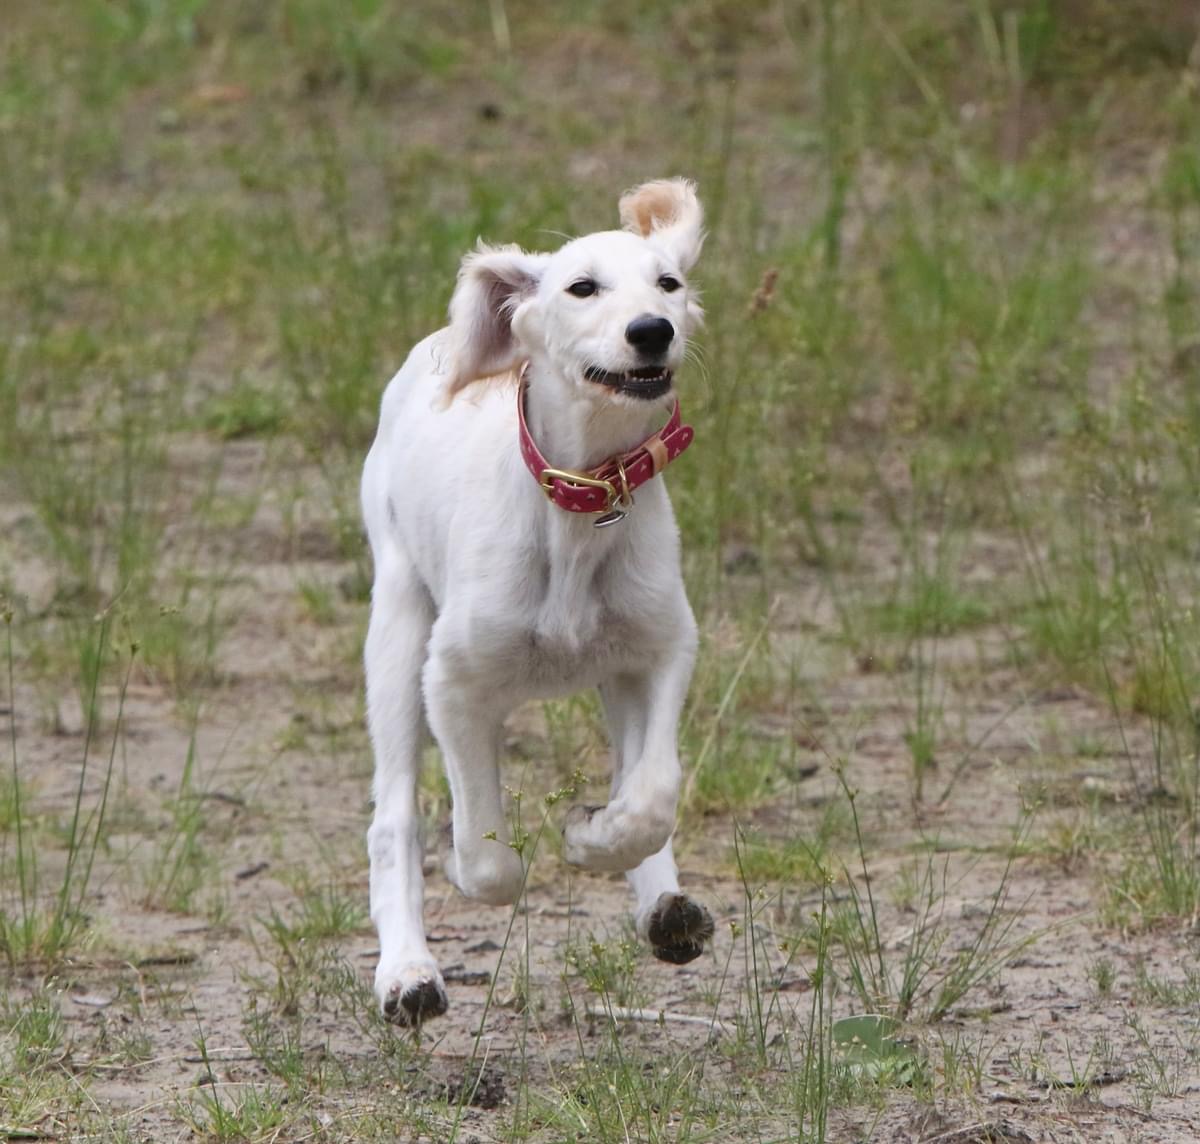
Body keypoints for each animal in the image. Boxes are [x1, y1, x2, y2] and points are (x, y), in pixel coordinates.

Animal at [361, 179, 715, 1026]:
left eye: (669, 283)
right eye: (581, 288)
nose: (651, 332)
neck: (584, 505)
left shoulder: (663, 650)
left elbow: (652, 792)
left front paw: (592, 835)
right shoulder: (452, 682)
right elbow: (486, 858)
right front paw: (489, 869)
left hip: (614, 671)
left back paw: (664, 905)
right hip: (395, 628)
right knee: (392, 818)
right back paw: (407, 973)